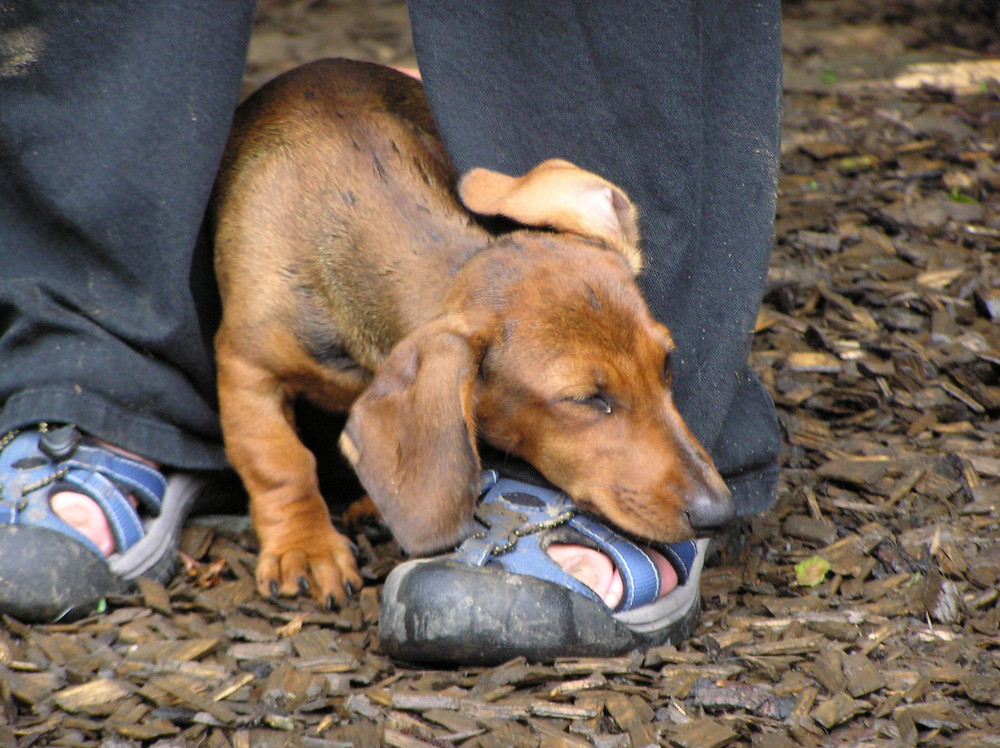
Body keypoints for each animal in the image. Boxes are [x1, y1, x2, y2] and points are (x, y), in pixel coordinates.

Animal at [213, 58, 736, 608]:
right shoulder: (247, 368)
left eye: (667, 364)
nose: (719, 513)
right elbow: (280, 463)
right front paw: (306, 547)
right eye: (585, 400)